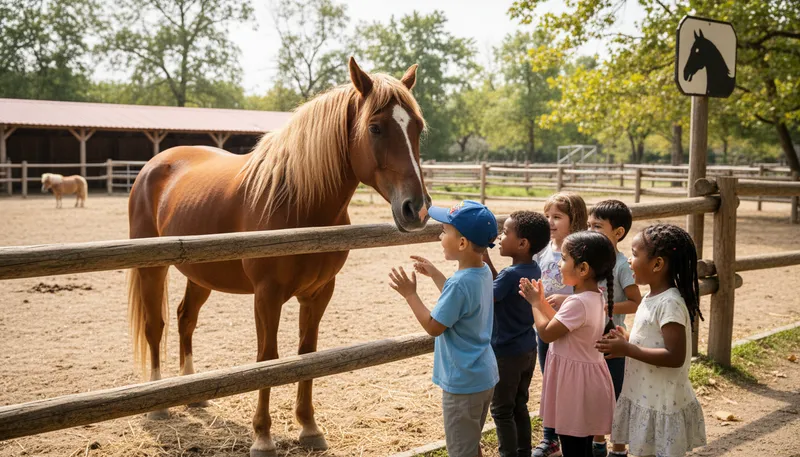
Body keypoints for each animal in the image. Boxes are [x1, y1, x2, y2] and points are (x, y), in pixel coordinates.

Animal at [127, 57, 430, 457]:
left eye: (418, 129)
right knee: (155, 325)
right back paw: (159, 403)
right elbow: (267, 359)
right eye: (375, 127)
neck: (298, 199)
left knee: (185, 318)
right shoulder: (267, 295)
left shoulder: (319, 293)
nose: (417, 209)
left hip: (201, 274)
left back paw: (192, 394)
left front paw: (309, 428)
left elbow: (307, 355)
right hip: (152, 268)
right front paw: (263, 436)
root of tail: (154, 164)